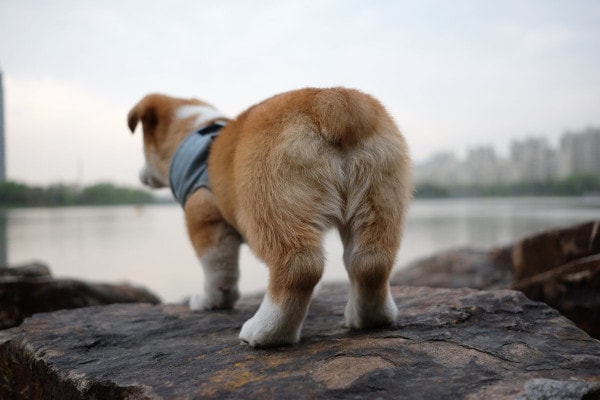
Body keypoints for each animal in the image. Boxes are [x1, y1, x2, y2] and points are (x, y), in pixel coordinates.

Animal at [127, 87, 412, 346]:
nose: (140, 175)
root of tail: (333, 101)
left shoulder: (205, 216)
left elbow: (218, 270)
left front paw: (210, 302)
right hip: (378, 199)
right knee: (370, 263)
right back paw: (370, 318)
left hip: (270, 200)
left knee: (299, 268)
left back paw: (267, 332)